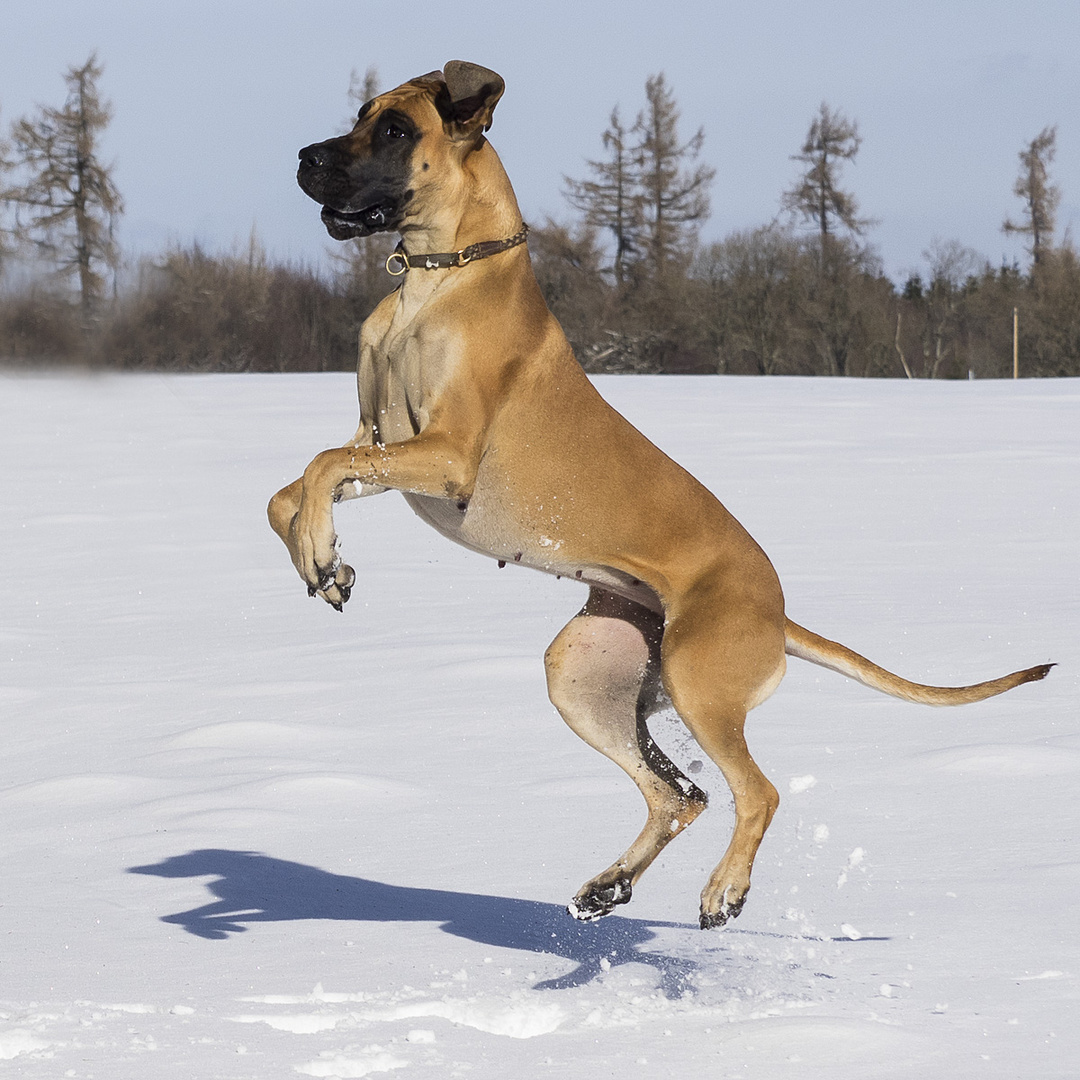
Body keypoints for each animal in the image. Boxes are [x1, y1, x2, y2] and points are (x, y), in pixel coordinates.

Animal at [270, 63, 1054, 928]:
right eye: (359, 114)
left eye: (397, 130)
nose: (305, 157)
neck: (441, 276)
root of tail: (777, 613)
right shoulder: (379, 441)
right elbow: (293, 488)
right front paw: (325, 559)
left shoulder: (446, 457)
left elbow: (319, 465)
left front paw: (322, 555)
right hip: (585, 670)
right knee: (678, 794)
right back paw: (609, 884)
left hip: (697, 679)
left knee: (753, 791)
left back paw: (724, 888)